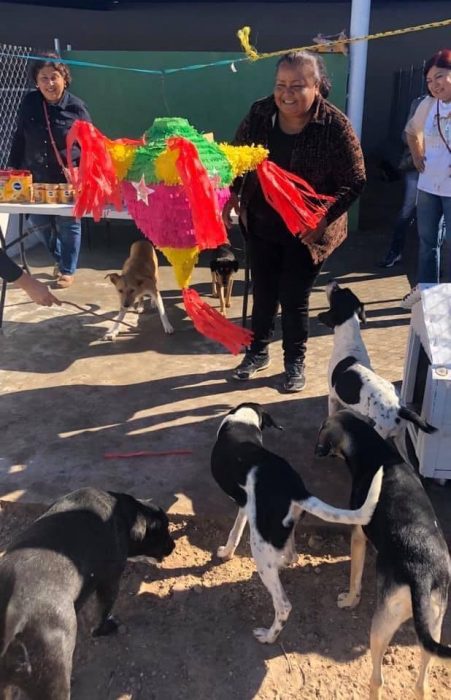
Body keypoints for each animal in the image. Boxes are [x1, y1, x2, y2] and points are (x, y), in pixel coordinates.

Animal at [0, 486, 175, 700]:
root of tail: (13, 614)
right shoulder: (110, 581)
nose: (174, 546)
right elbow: (102, 613)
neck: (123, 512)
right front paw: (104, 629)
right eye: (164, 530)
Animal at [210, 404, 384, 644]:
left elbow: (233, 532)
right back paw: (284, 564)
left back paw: (268, 636)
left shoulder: (244, 507)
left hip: (260, 545)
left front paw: (224, 553)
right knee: (292, 556)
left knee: (283, 605)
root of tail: (296, 488)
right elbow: (235, 532)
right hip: (282, 528)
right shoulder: (245, 505)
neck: (243, 420)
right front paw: (227, 552)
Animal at [314, 410, 451, 700]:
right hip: (433, 629)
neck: (377, 451)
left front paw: (349, 600)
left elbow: (354, 578)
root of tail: (421, 575)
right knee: (421, 685)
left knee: (377, 680)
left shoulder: (357, 536)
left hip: (380, 628)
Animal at [318, 278, 438, 448]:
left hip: (380, 432)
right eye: (346, 290)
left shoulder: (333, 398)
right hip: (400, 438)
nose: (332, 280)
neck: (349, 340)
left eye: (336, 292)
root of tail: (400, 409)